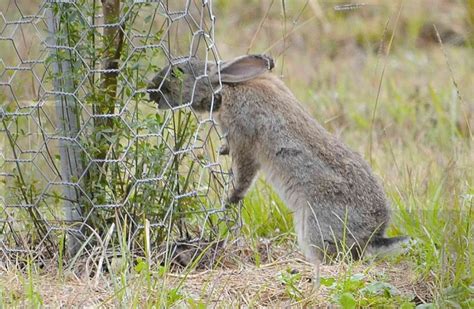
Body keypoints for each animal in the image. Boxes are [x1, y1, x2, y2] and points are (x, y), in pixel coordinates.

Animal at [147, 54, 408, 262]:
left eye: (178, 72)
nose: (151, 89)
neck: (226, 88)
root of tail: (373, 234)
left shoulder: (243, 136)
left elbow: (244, 173)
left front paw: (230, 199)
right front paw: (222, 151)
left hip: (314, 225)